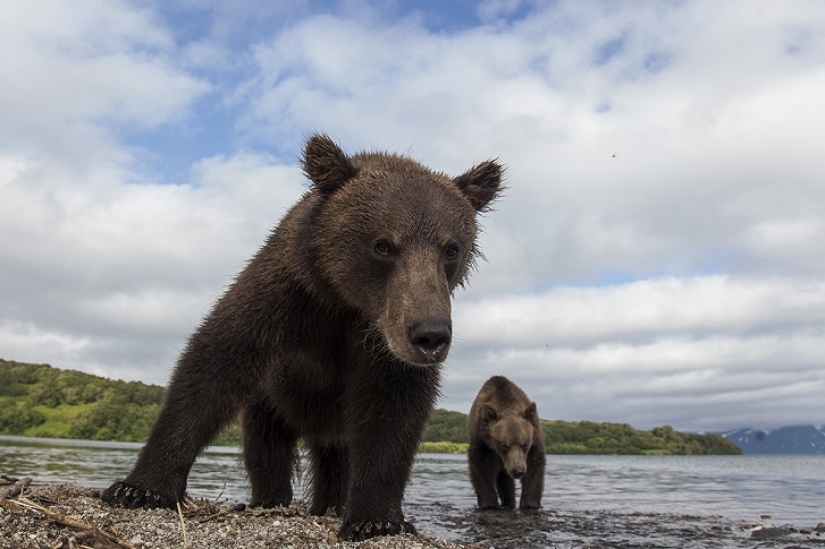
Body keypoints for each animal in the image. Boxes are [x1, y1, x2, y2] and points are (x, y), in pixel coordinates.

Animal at [101, 133, 503, 541]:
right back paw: (269, 498)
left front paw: (375, 518)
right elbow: (215, 363)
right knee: (266, 445)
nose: (430, 335)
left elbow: (393, 411)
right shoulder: (289, 297)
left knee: (336, 459)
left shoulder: (381, 343)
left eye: (451, 249)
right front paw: (141, 488)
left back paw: (331, 505)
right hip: (271, 399)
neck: (346, 303)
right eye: (383, 245)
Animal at [467, 375, 545, 510]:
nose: (518, 470)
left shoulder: (534, 440)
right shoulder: (482, 442)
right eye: (504, 445)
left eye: (524, 444)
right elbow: (481, 470)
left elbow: (534, 470)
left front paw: (530, 504)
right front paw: (489, 504)